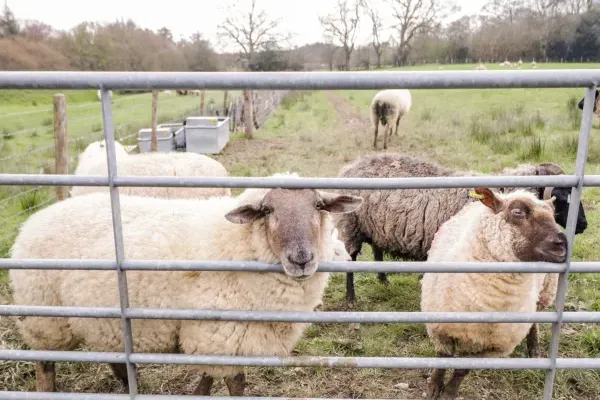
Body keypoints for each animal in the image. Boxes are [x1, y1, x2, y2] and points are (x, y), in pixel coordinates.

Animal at [8, 172, 366, 394]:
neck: (236, 244)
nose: (301, 258)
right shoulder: (218, 334)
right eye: (267, 210)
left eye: (318, 206)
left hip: (101, 317)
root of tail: (34, 220)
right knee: (45, 365)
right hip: (45, 316)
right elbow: (230, 383)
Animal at [420, 188, 564, 400]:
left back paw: (534, 349)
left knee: (534, 323)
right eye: (517, 212)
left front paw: (449, 393)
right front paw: (433, 388)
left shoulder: (496, 347)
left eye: (553, 216)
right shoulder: (439, 327)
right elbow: (443, 358)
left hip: (543, 294)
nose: (562, 244)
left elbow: (462, 370)